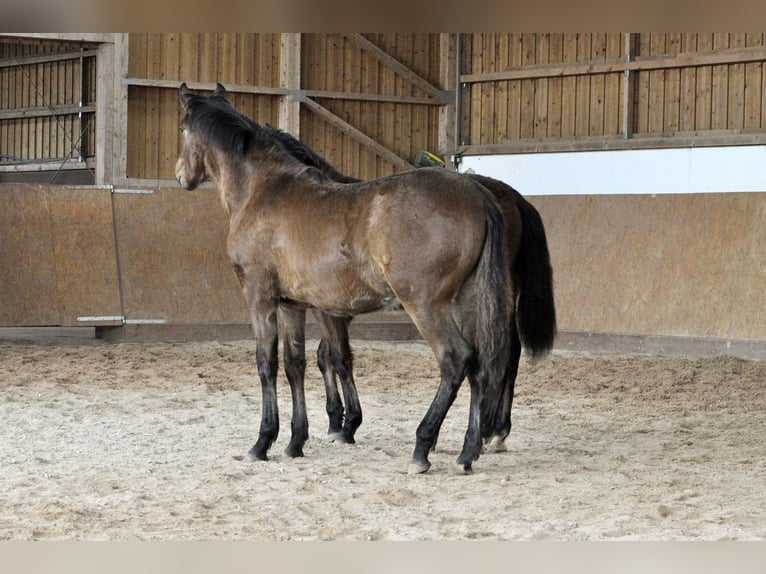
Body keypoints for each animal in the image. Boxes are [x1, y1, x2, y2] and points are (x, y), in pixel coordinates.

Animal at [175, 82, 520, 476]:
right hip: (468, 302)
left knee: (456, 359)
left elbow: (268, 365)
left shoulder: (259, 297)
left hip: (426, 304)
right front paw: (296, 441)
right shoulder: (293, 304)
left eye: (183, 129)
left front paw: (263, 442)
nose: (180, 174)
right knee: (480, 364)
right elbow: (296, 365)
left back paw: (423, 447)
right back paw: (468, 452)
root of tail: (478, 193)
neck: (263, 190)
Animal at [260, 107, 560, 454]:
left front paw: (344, 423)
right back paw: (488, 430)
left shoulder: (327, 310)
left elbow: (334, 357)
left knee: (502, 352)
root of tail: (509, 196)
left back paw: (490, 429)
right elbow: (327, 356)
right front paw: (338, 420)